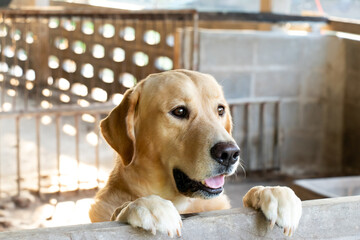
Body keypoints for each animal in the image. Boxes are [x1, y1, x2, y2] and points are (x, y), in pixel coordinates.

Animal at [88, 70, 302, 238]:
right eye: (179, 111)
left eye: (220, 109)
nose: (229, 153)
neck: (185, 204)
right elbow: (123, 209)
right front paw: (147, 205)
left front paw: (274, 193)